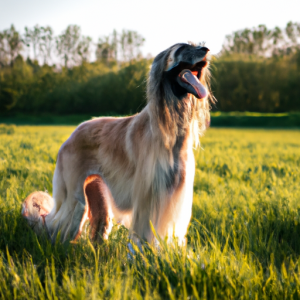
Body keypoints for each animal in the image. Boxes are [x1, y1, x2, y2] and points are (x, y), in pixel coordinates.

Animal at [22, 42, 212, 245]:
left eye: (197, 45)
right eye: (183, 48)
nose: (206, 49)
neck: (170, 130)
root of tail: (70, 136)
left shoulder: (172, 192)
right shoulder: (149, 195)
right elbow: (143, 237)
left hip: (95, 189)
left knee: (97, 224)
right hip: (75, 197)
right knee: (59, 225)